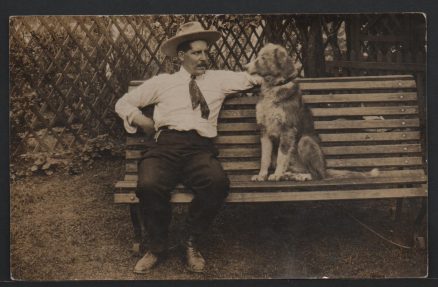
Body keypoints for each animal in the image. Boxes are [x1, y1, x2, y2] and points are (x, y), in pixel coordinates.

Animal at [246, 43, 380, 181]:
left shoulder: (287, 129)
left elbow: (282, 156)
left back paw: (301, 176)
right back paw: (290, 175)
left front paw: (277, 174)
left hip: (305, 141)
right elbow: (264, 158)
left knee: (317, 175)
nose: (245, 67)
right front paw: (261, 175)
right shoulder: (264, 130)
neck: (274, 86)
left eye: (263, 58)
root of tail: (325, 169)